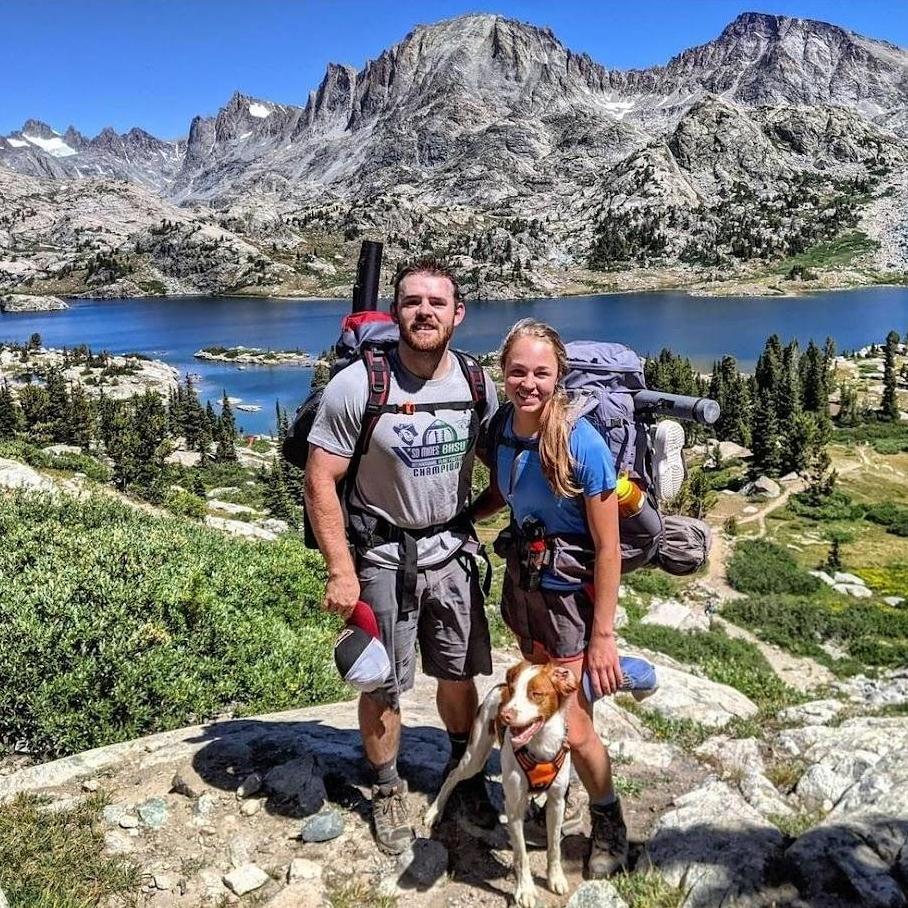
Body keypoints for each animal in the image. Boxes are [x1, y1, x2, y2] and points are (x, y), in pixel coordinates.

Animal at [424, 660, 576, 908]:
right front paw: (525, 890)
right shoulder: (512, 807)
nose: (505, 716)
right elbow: (521, 854)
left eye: (536, 694)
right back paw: (434, 812)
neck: (541, 745)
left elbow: (554, 846)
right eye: (514, 692)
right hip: (474, 757)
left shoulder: (556, 802)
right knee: (453, 775)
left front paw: (555, 878)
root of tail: (499, 686)